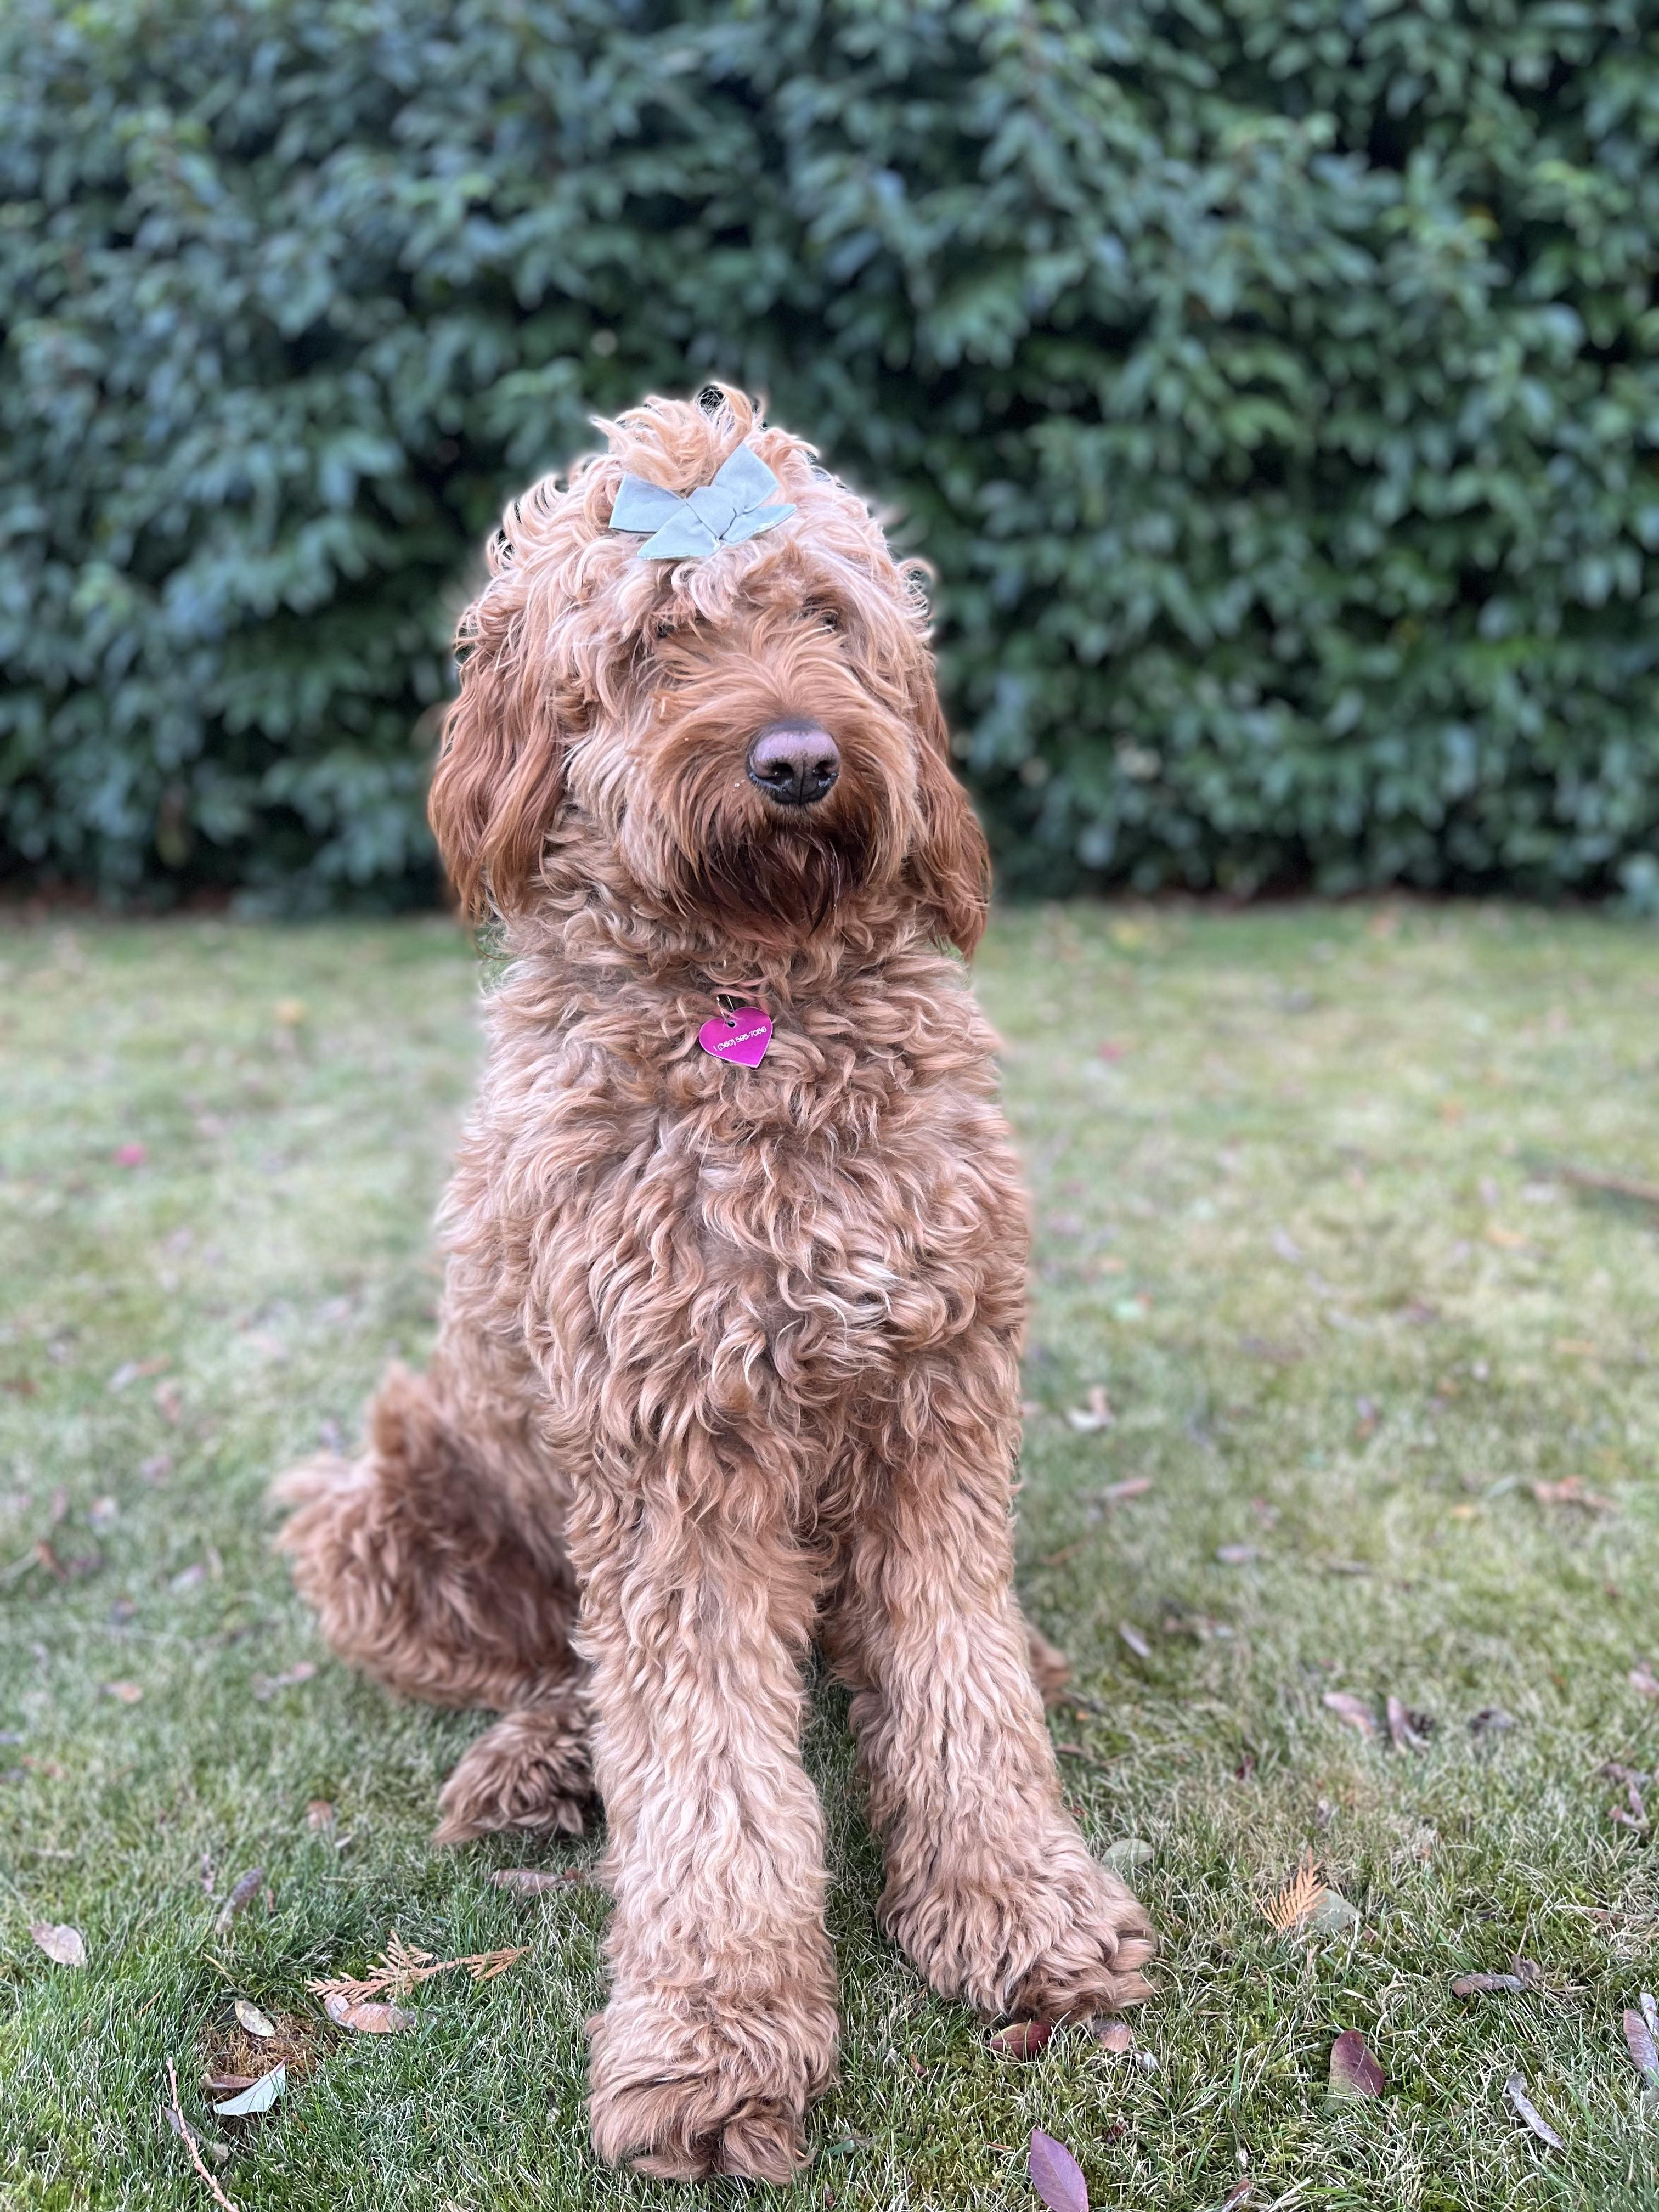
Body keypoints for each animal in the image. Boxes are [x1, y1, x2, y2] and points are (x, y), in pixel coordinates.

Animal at [274, 387, 1154, 2182]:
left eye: (825, 620)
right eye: (655, 646)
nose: (800, 760)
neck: (765, 1010)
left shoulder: (938, 1403)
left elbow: (956, 1681)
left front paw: (1020, 1907)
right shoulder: (670, 1452)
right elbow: (702, 1772)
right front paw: (716, 2040)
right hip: (385, 1493)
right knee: (558, 1660)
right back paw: (540, 1763)